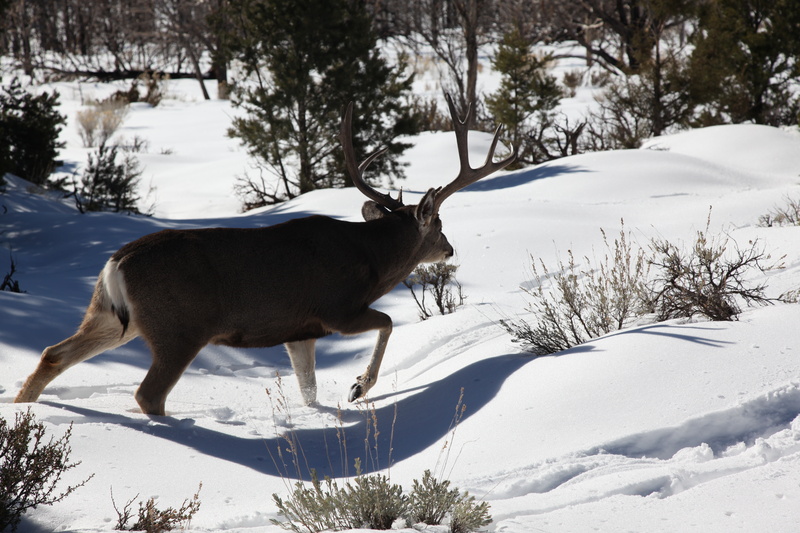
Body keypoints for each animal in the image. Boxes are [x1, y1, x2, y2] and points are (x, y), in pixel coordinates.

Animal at [15, 96, 516, 416]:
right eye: (440, 225)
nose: (449, 249)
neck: (372, 260)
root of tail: (114, 263)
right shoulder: (336, 308)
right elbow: (389, 322)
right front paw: (358, 387)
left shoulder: (299, 330)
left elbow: (308, 388)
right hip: (179, 327)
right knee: (148, 394)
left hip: (113, 316)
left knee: (54, 353)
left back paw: (23, 412)